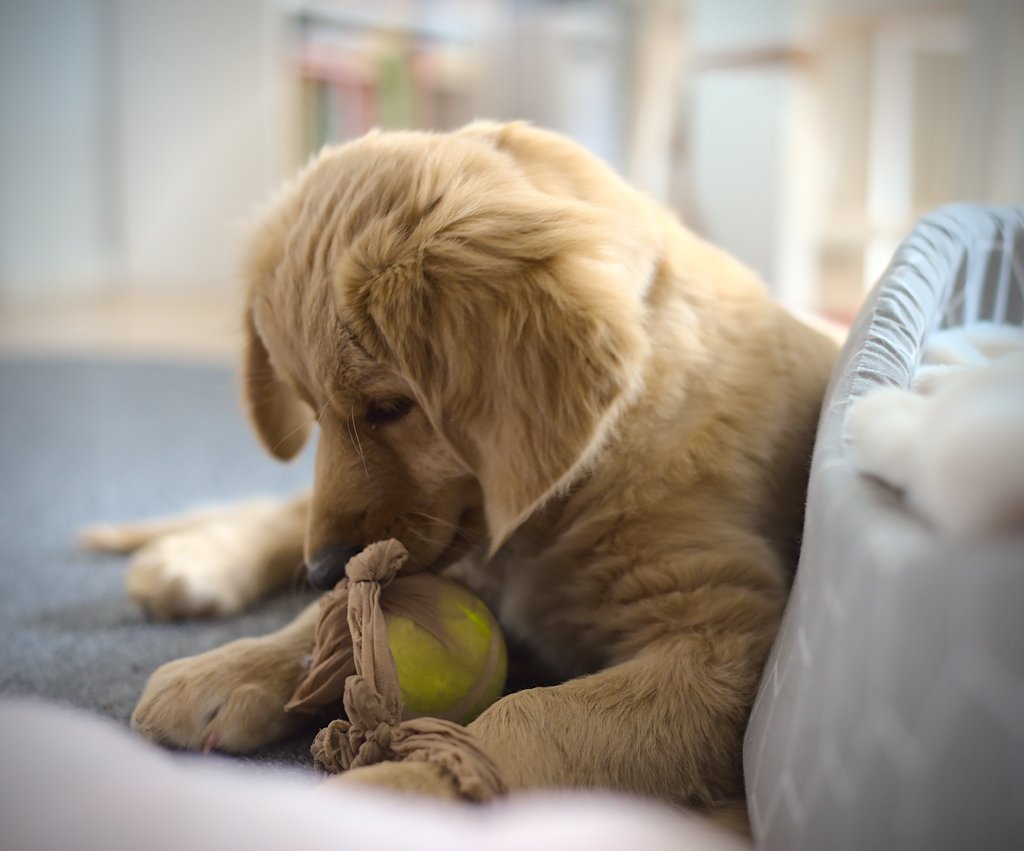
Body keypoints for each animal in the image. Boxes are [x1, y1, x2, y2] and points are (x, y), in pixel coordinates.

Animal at [92, 122, 835, 815]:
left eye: (390, 407)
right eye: (310, 410)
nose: (325, 567)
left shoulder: (720, 643)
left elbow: (529, 717)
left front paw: (385, 791)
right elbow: (335, 616)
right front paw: (232, 667)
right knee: (279, 515)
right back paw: (189, 562)